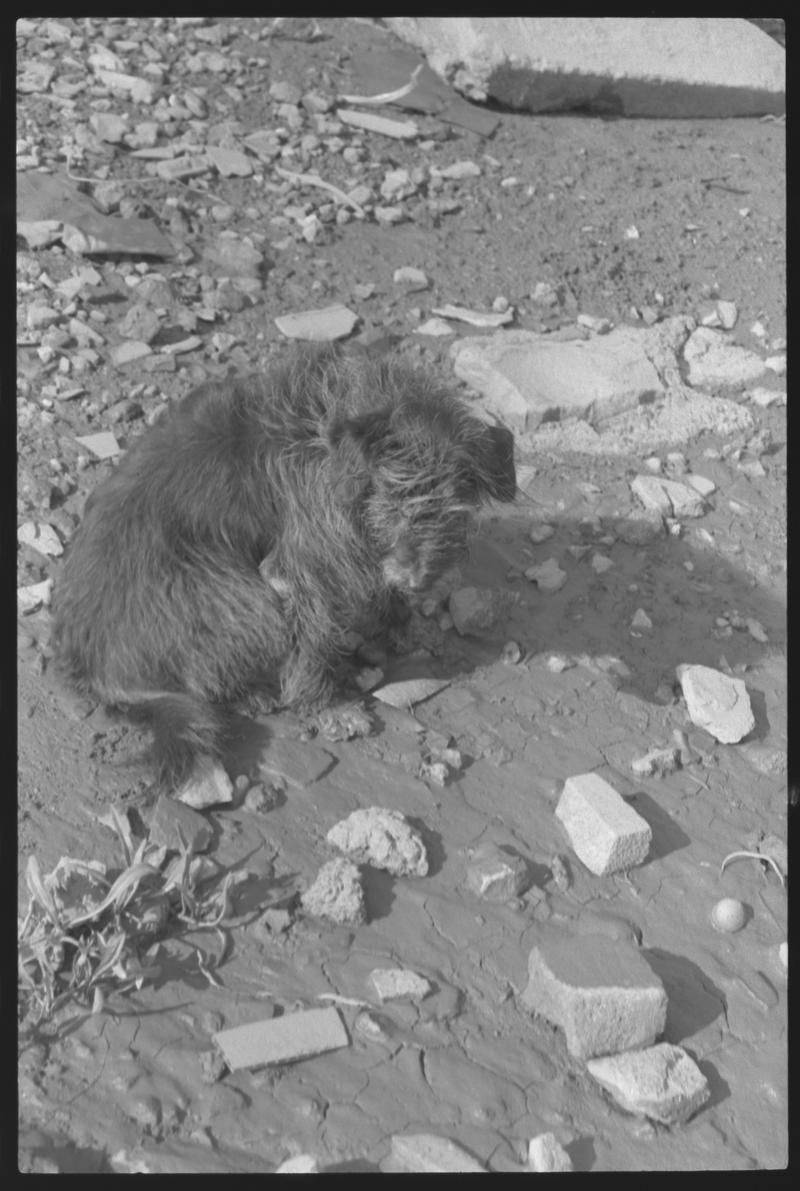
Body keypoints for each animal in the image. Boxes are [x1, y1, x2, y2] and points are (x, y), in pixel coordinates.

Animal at [52, 345, 516, 790]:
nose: (418, 580)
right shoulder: (303, 565)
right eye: (392, 504)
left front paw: (409, 624)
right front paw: (327, 706)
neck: (329, 440)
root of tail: (107, 675)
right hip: (235, 594)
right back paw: (249, 694)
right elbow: (313, 642)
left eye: (455, 512)